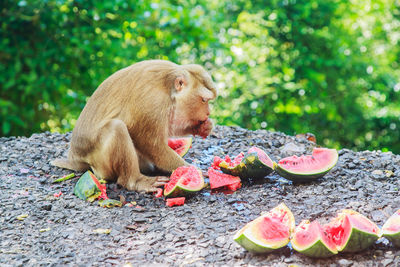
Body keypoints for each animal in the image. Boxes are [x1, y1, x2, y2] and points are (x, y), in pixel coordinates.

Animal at [52, 60, 219, 193]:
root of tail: (78, 157)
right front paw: (190, 169)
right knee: (117, 128)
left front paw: (202, 127)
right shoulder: (153, 102)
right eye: (204, 100)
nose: (208, 112)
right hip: (101, 165)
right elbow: (150, 143)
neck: (168, 89)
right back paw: (135, 181)